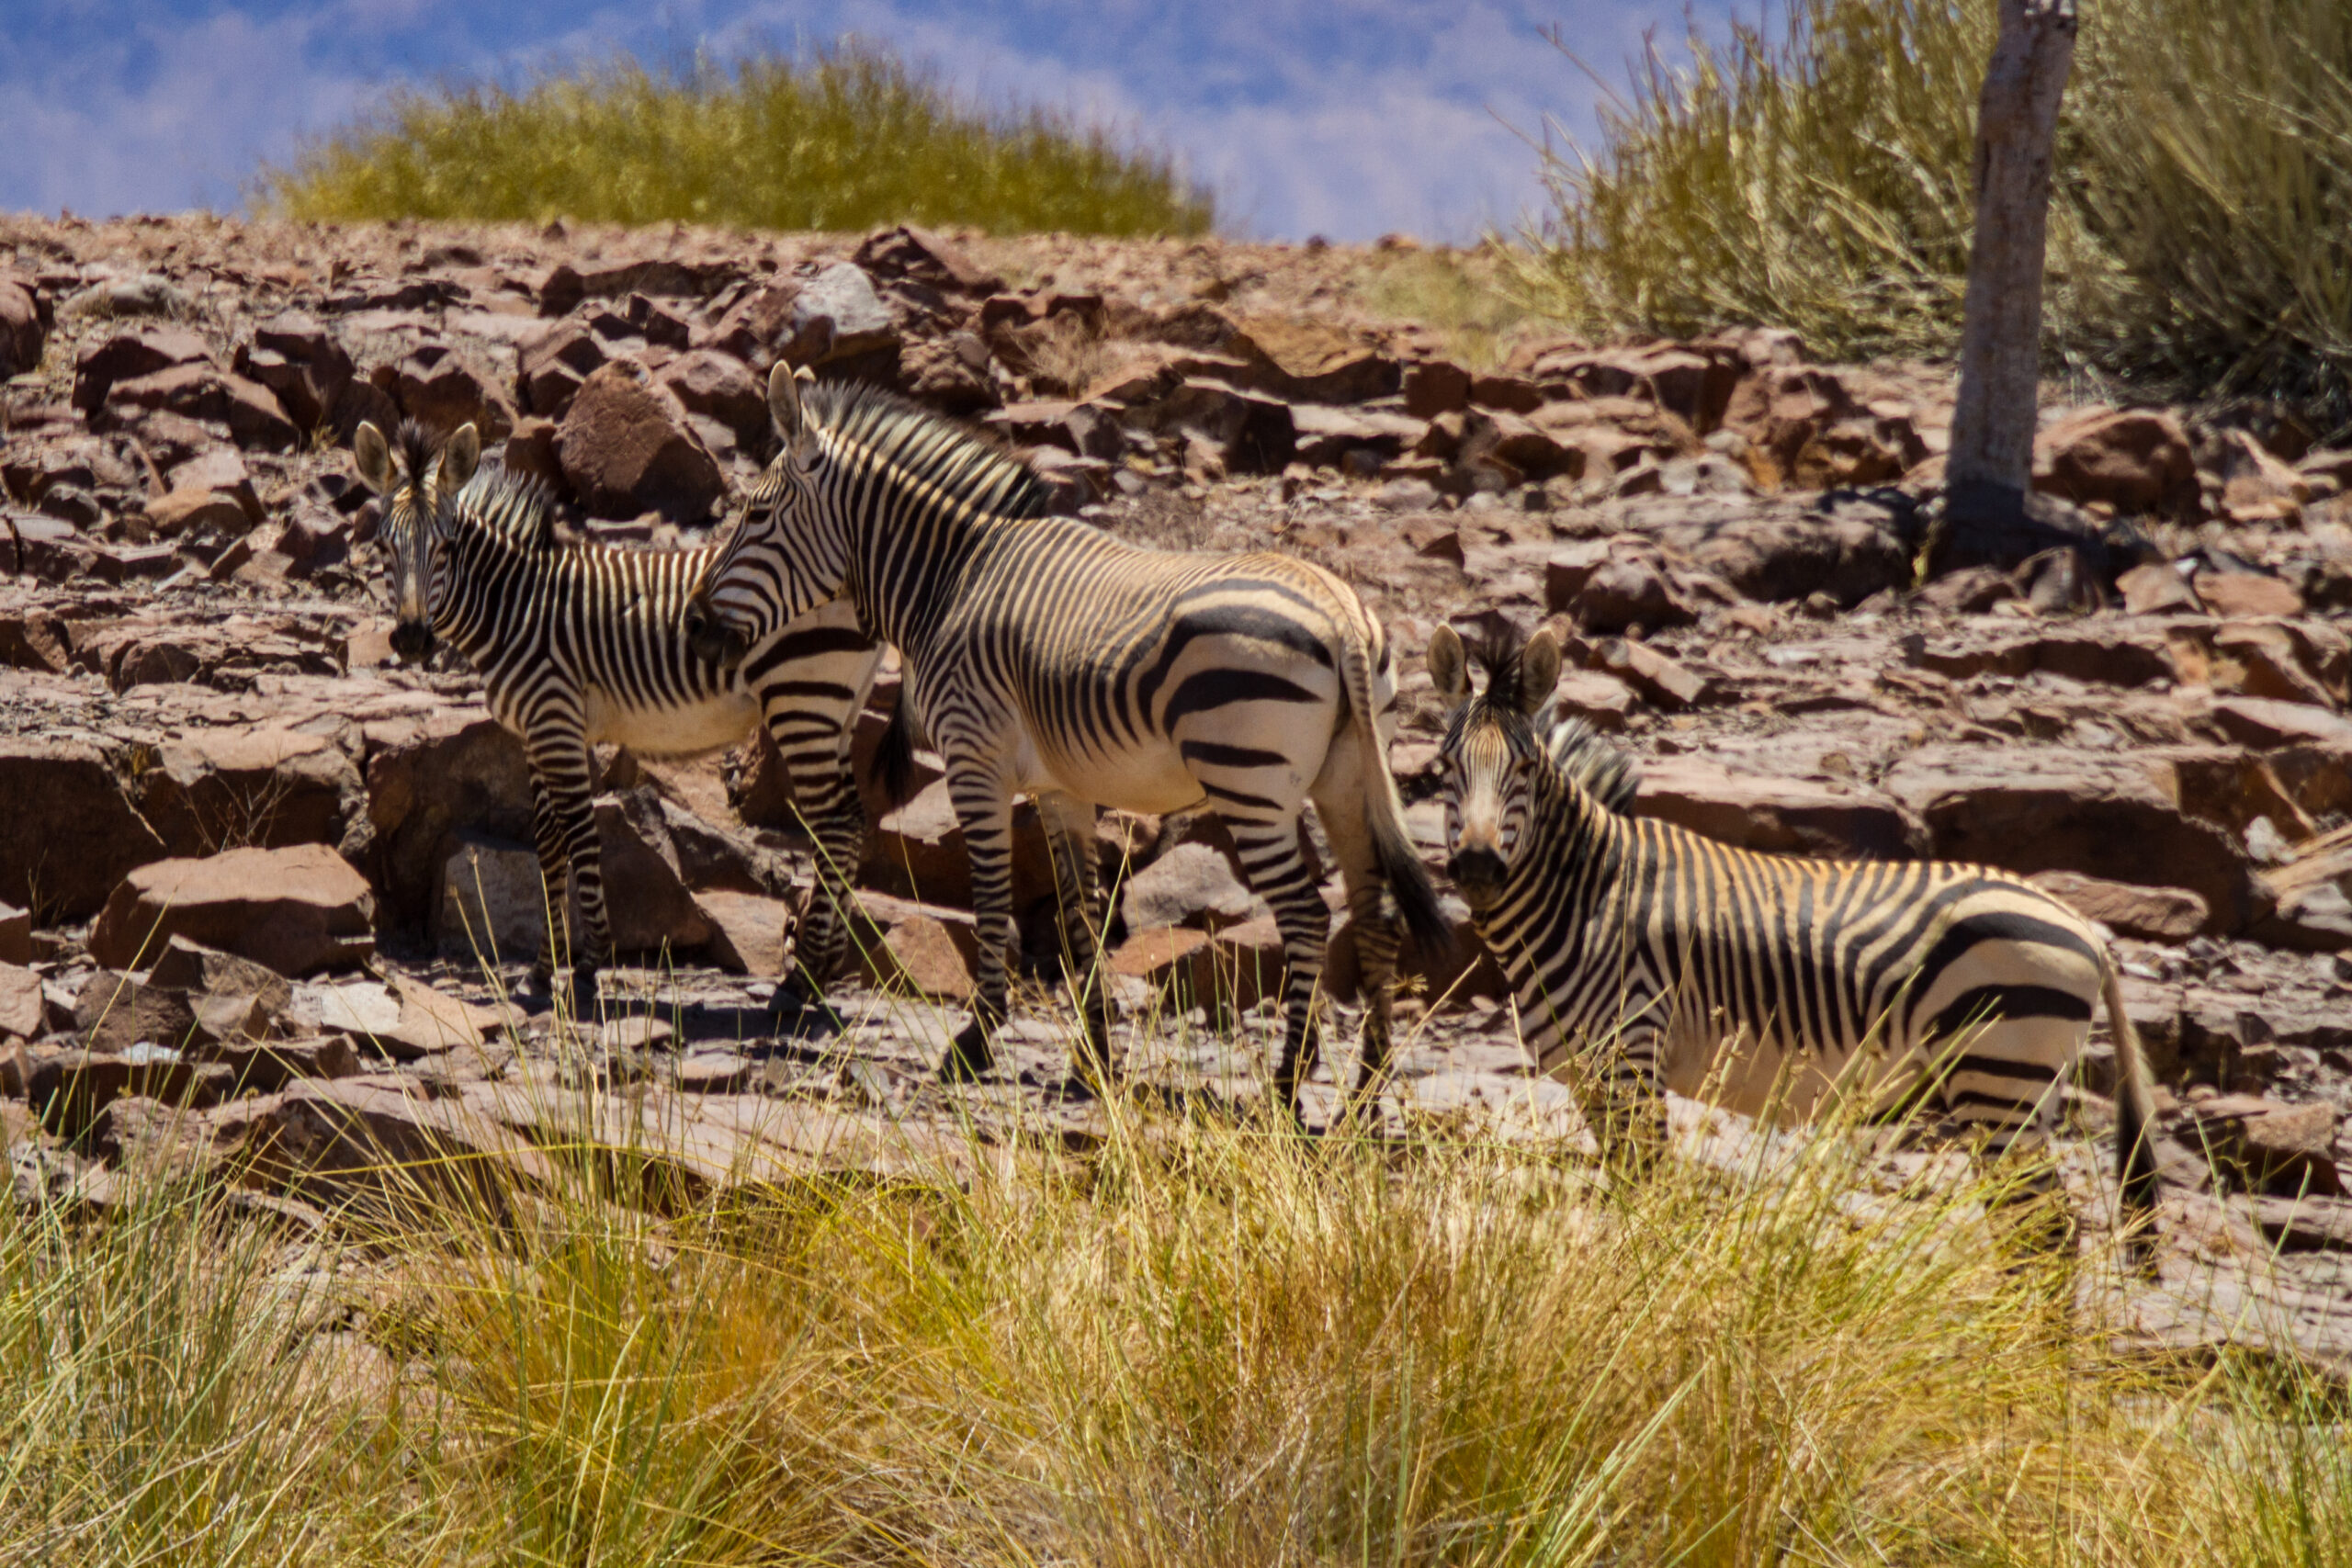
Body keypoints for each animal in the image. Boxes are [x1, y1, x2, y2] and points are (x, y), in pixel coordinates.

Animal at [347, 415, 888, 1006]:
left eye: (445, 547)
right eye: (383, 546)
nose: (412, 639)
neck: (515, 607)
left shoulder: (555, 720)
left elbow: (581, 836)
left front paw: (588, 966)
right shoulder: (538, 732)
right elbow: (547, 843)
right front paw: (541, 972)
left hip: (802, 699)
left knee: (835, 823)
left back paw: (802, 977)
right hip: (835, 707)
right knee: (852, 819)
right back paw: (826, 968)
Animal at [686, 364, 1448, 1114]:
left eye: (756, 515)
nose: (693, 625)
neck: (952, 579)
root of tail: (1341, 615)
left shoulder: (975, 758)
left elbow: (992, 896)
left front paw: (976, 1039)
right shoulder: (1060, 787)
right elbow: (1082, 914)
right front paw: (1094, 1056)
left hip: (1248, 783)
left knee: (1308, 916)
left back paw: (1289, 1084)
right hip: (1345, 780)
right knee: (1374, 913)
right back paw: (1365, 1089)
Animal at [1420, 620, 2154, 1222]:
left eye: (1523, 767)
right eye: (1444, 767)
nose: (1479, 866)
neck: (1588, 893)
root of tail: (2082, 927)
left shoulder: (1631, 1056)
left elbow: (1642, 1195)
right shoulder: (1592, 1078)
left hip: (1999, 1077)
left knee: (2046, 1233)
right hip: (2013, 1090)